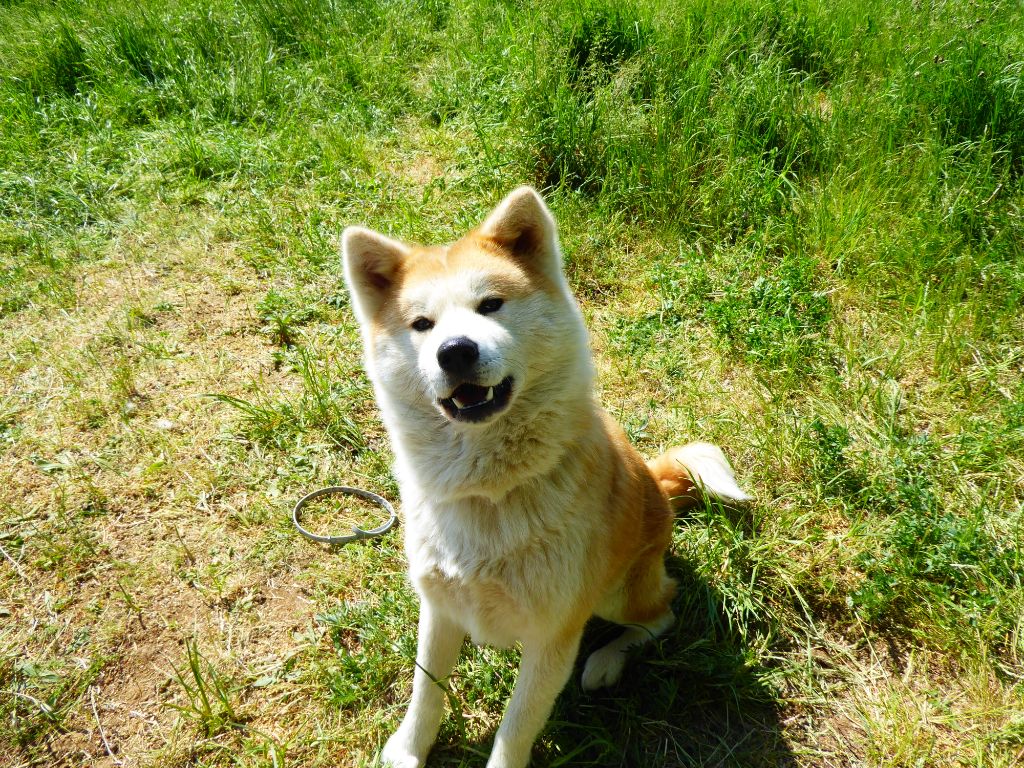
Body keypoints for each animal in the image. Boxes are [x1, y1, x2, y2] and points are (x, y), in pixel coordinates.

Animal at [341, 187, 750, 768]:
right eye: (422, 324)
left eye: (491, 305)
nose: (455, 350)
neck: (489, 491)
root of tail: (656, 483)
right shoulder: (439, 607)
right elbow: (426, 692)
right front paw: (408, 750)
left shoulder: (554, 636)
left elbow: (515, 728)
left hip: (617, 594)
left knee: (662, 613)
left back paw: (607, 661)